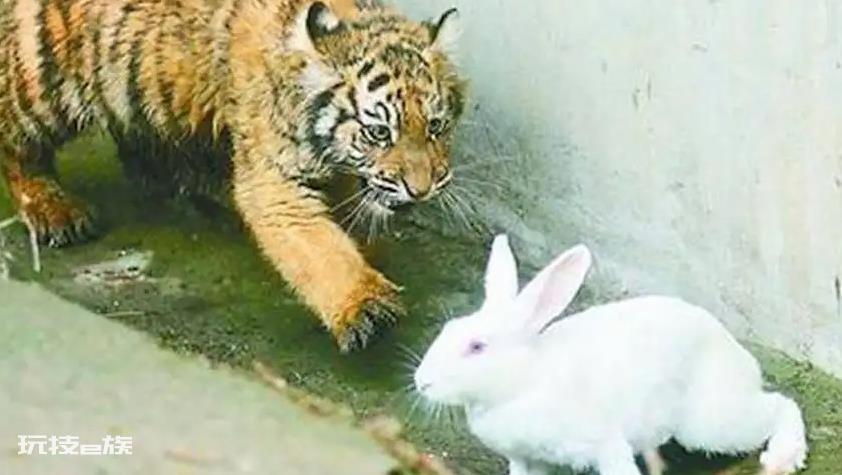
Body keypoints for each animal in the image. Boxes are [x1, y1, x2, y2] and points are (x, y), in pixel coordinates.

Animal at [0, 0, 466, 352]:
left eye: (436, 126)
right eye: (379, 132)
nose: (422, 189)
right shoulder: (274, 180)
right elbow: (318, 246)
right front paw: (364, 305)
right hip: (43, 80)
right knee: (15, 140)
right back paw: (53, 209)